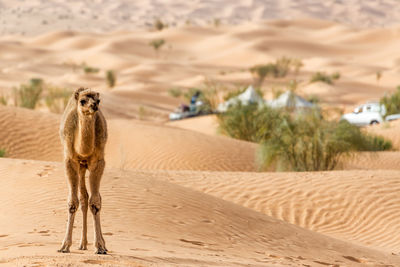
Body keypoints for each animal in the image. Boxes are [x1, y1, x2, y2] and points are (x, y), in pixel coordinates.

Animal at [57, 88, 108, 255]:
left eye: (98, 100)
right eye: (82, 101)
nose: (94, 106)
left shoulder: (98, 162)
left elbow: (95, 202)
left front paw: (100, 247)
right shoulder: (70, 160)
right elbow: (73, 202)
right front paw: (64, 246)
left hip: (85, 167)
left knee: (92, 198)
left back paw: (96, 244)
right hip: (80, 168)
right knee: (83, 198)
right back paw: (82, 244)